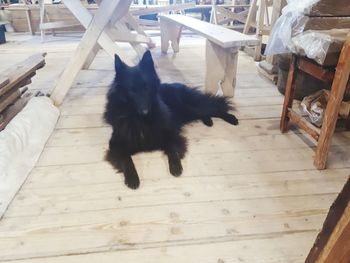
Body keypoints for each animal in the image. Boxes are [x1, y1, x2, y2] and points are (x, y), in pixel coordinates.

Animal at [102, 50, 237, 190]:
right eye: (132, 90)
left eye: (147, 87)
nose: (145, 112)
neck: (140, 120)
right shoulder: (115, 145)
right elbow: (127, 160)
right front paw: (133, 178)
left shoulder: (171, 133)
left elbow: (172, 148)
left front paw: (176, 167)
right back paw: (209, 121)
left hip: (193, 107)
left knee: (215, 108)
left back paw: (231, 118)